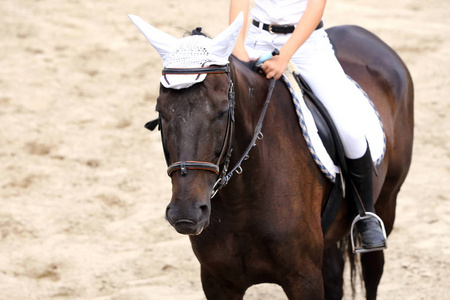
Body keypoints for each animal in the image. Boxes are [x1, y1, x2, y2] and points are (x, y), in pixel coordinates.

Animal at [134, 14, 414, 300]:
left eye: (223, 111)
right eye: (160, 112)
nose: (185, 213)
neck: (242, 199)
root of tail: (362, 34)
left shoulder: (304, 279)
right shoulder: (217, 281)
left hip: (387, 200)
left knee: (373, 268)